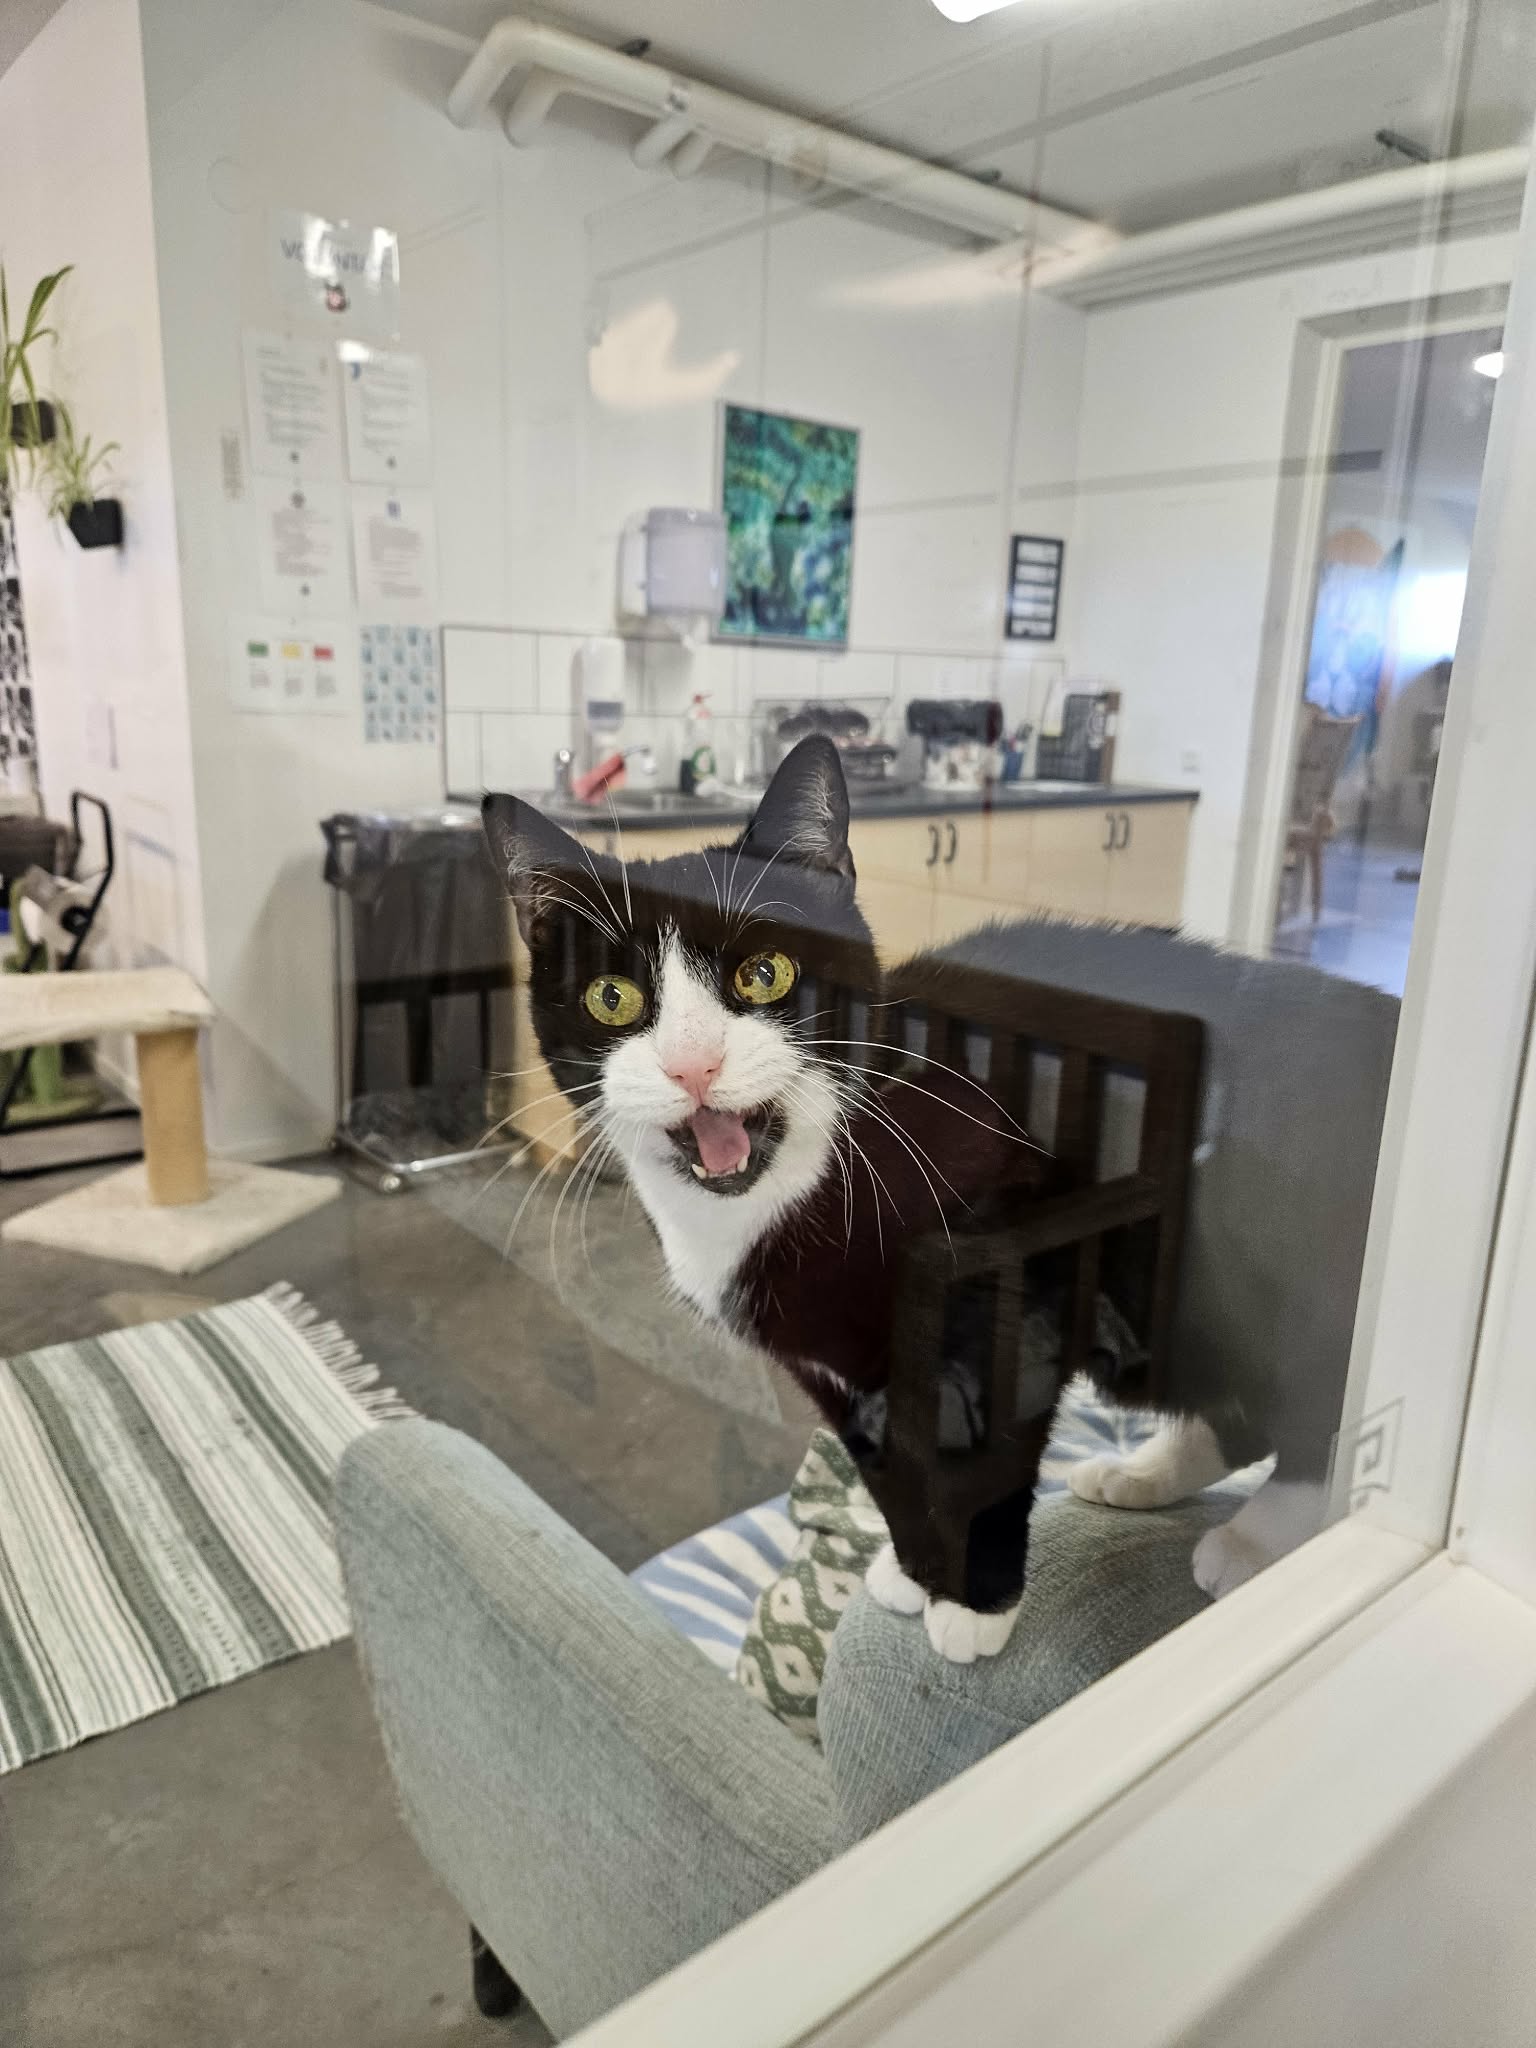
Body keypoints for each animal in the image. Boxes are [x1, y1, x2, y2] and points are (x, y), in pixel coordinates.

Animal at [484, 736, 1399, 1664]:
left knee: (1314, 1393)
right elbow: (894, 1469)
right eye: (613, 997)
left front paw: (972, 1602)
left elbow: (986, 1455)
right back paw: (1141, 1475)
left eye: (767, 973)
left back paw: (1260, 1538)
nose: (693, 1066)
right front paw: (913, 1569)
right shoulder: (838, 1376)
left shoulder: (1010, 1295)